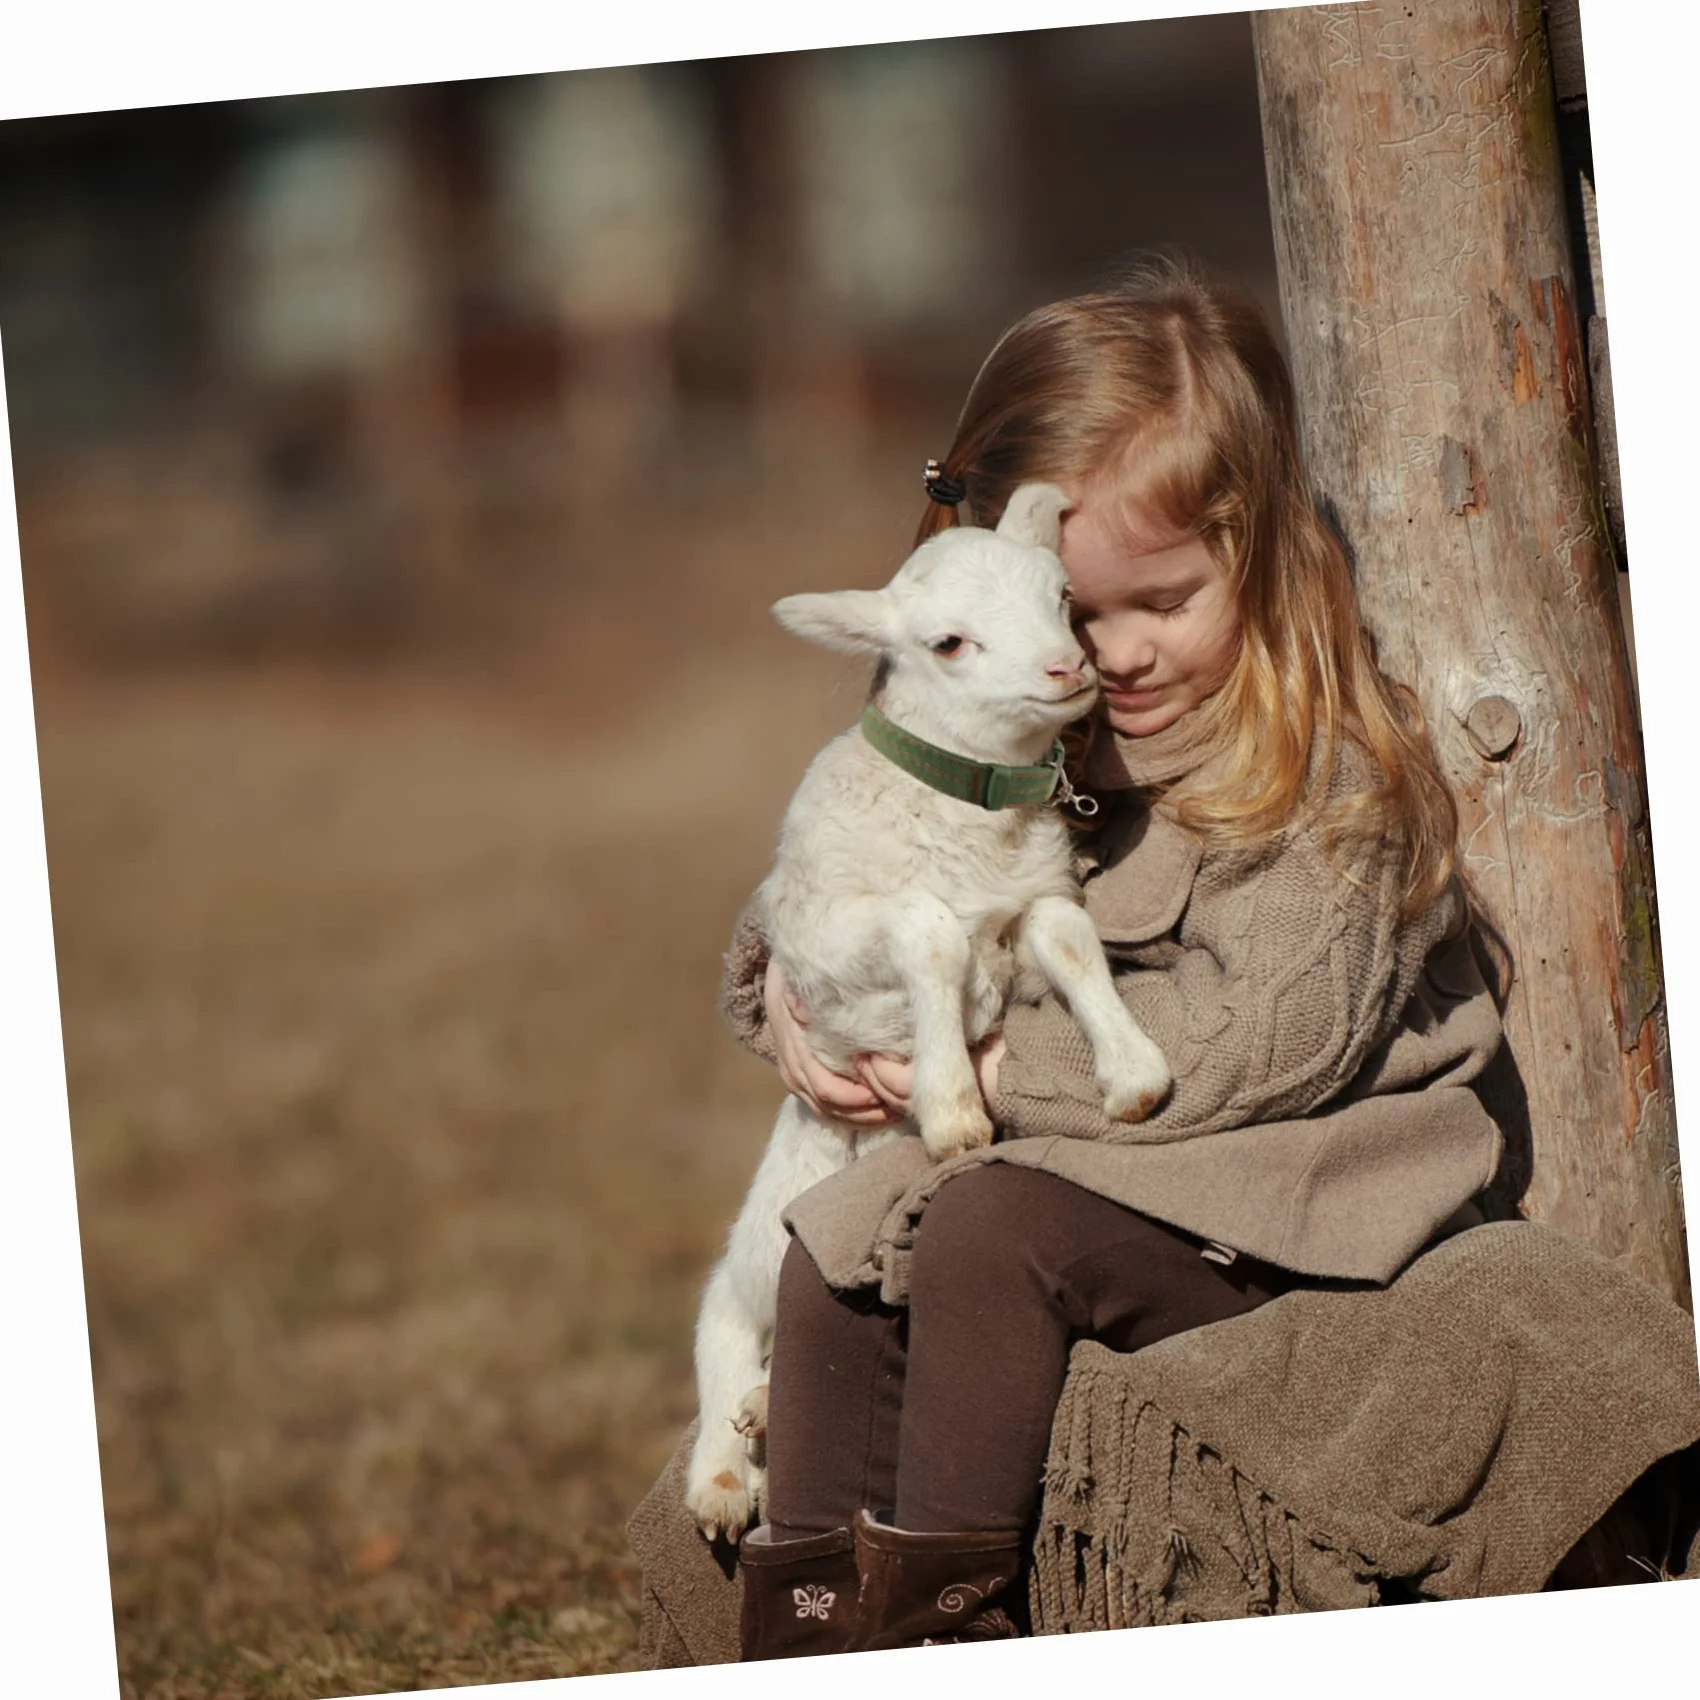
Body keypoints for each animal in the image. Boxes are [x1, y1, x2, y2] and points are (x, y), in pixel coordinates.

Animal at [684, 482, 1172, 1543]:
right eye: (949, 642)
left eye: (1064, 597)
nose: (1068, 669)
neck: (972, 816)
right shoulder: (828, 942)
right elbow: (932, 933)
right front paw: (952, 1110)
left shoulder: (1035, 900)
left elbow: (1072, 940)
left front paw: (1135, 1076)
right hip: (762, 1240)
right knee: (722, 1328)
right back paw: (724, 1478)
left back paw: (762, 1416)